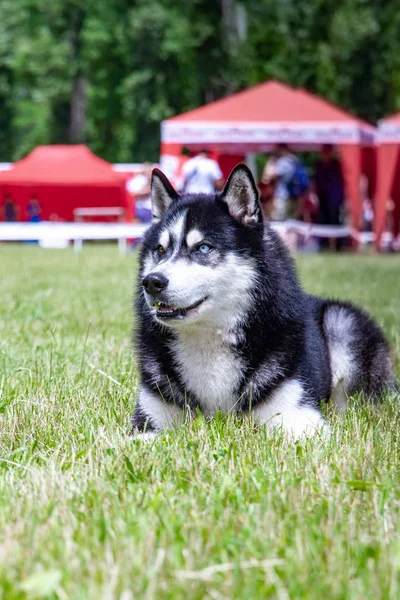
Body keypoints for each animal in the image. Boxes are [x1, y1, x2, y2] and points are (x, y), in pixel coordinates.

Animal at [131, 163, 394, 436]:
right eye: (160, 250)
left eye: (203, 248)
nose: (152, 282)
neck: (209, 338)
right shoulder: (149, 421)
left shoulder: (301, 418)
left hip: (342, 323)